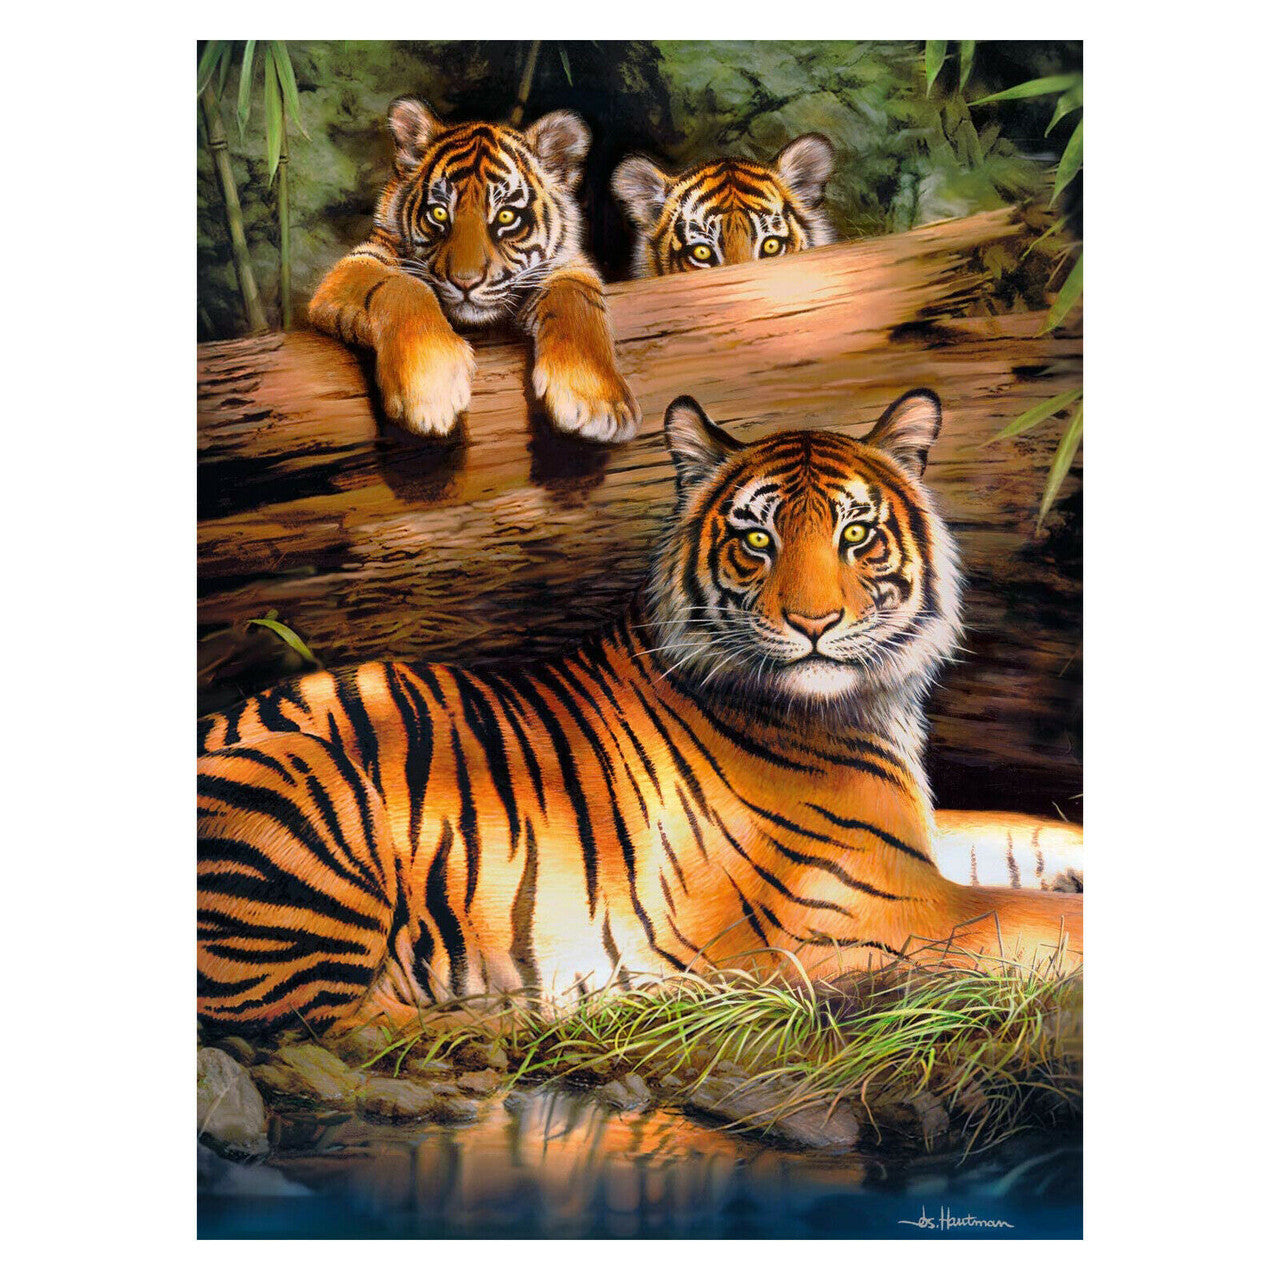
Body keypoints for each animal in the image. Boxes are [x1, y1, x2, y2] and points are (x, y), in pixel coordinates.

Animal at [197, 389, 1083, 1036]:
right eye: (756, 541)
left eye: (856, 534)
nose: (814, 623)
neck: (864, 705)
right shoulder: (874, 907)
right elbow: (1044, 919)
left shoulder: (910, 844)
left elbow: (1023, 835)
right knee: (326, 1025)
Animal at [309, 96, 638, 443]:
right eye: (439, 213)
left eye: (506, 216)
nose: (464, 282)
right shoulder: (359, 261)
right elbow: (402, 286)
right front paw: (431, 389)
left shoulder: (566, 265)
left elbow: (578, 301)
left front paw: (597, 403)